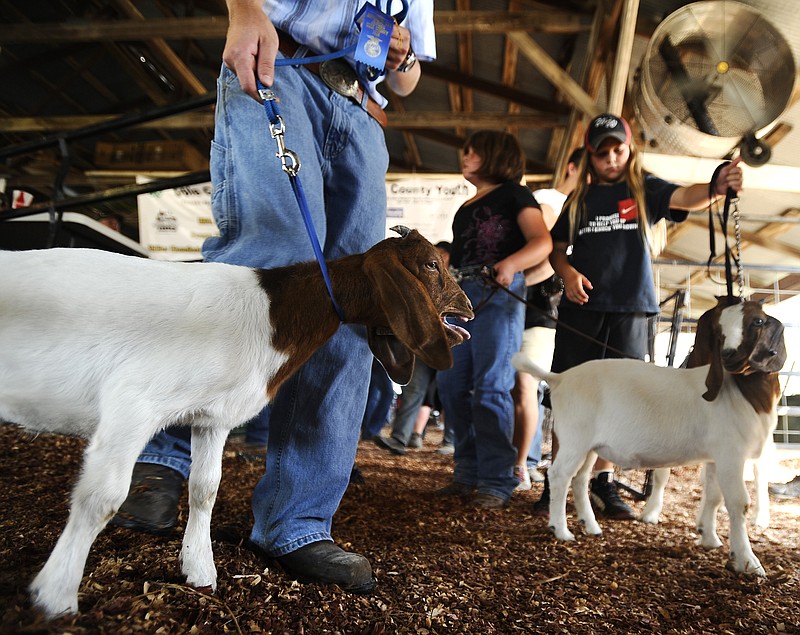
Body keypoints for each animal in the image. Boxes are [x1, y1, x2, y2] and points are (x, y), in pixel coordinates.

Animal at [0, 226, 472, 620]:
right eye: (431, 264)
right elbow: (102, 498)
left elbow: (205, 488)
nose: (468, 306)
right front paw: (56, 596)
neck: (271, 316)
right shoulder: (133, 401)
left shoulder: (212, 418)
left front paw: (199, 571)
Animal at [512, 300, 788, 580]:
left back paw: (590, 525)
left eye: (757, 321)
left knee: (578, 479)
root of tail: (560, 378)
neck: (743, 395)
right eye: (719, 330)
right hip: (574, 437)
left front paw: (709, 539)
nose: (728, 355)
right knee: (559, 476)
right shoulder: (732, 454)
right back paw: (561, 530)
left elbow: (713, 497)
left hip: (590, 445)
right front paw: (748, 562)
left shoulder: (717, 457)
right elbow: (738, 503)